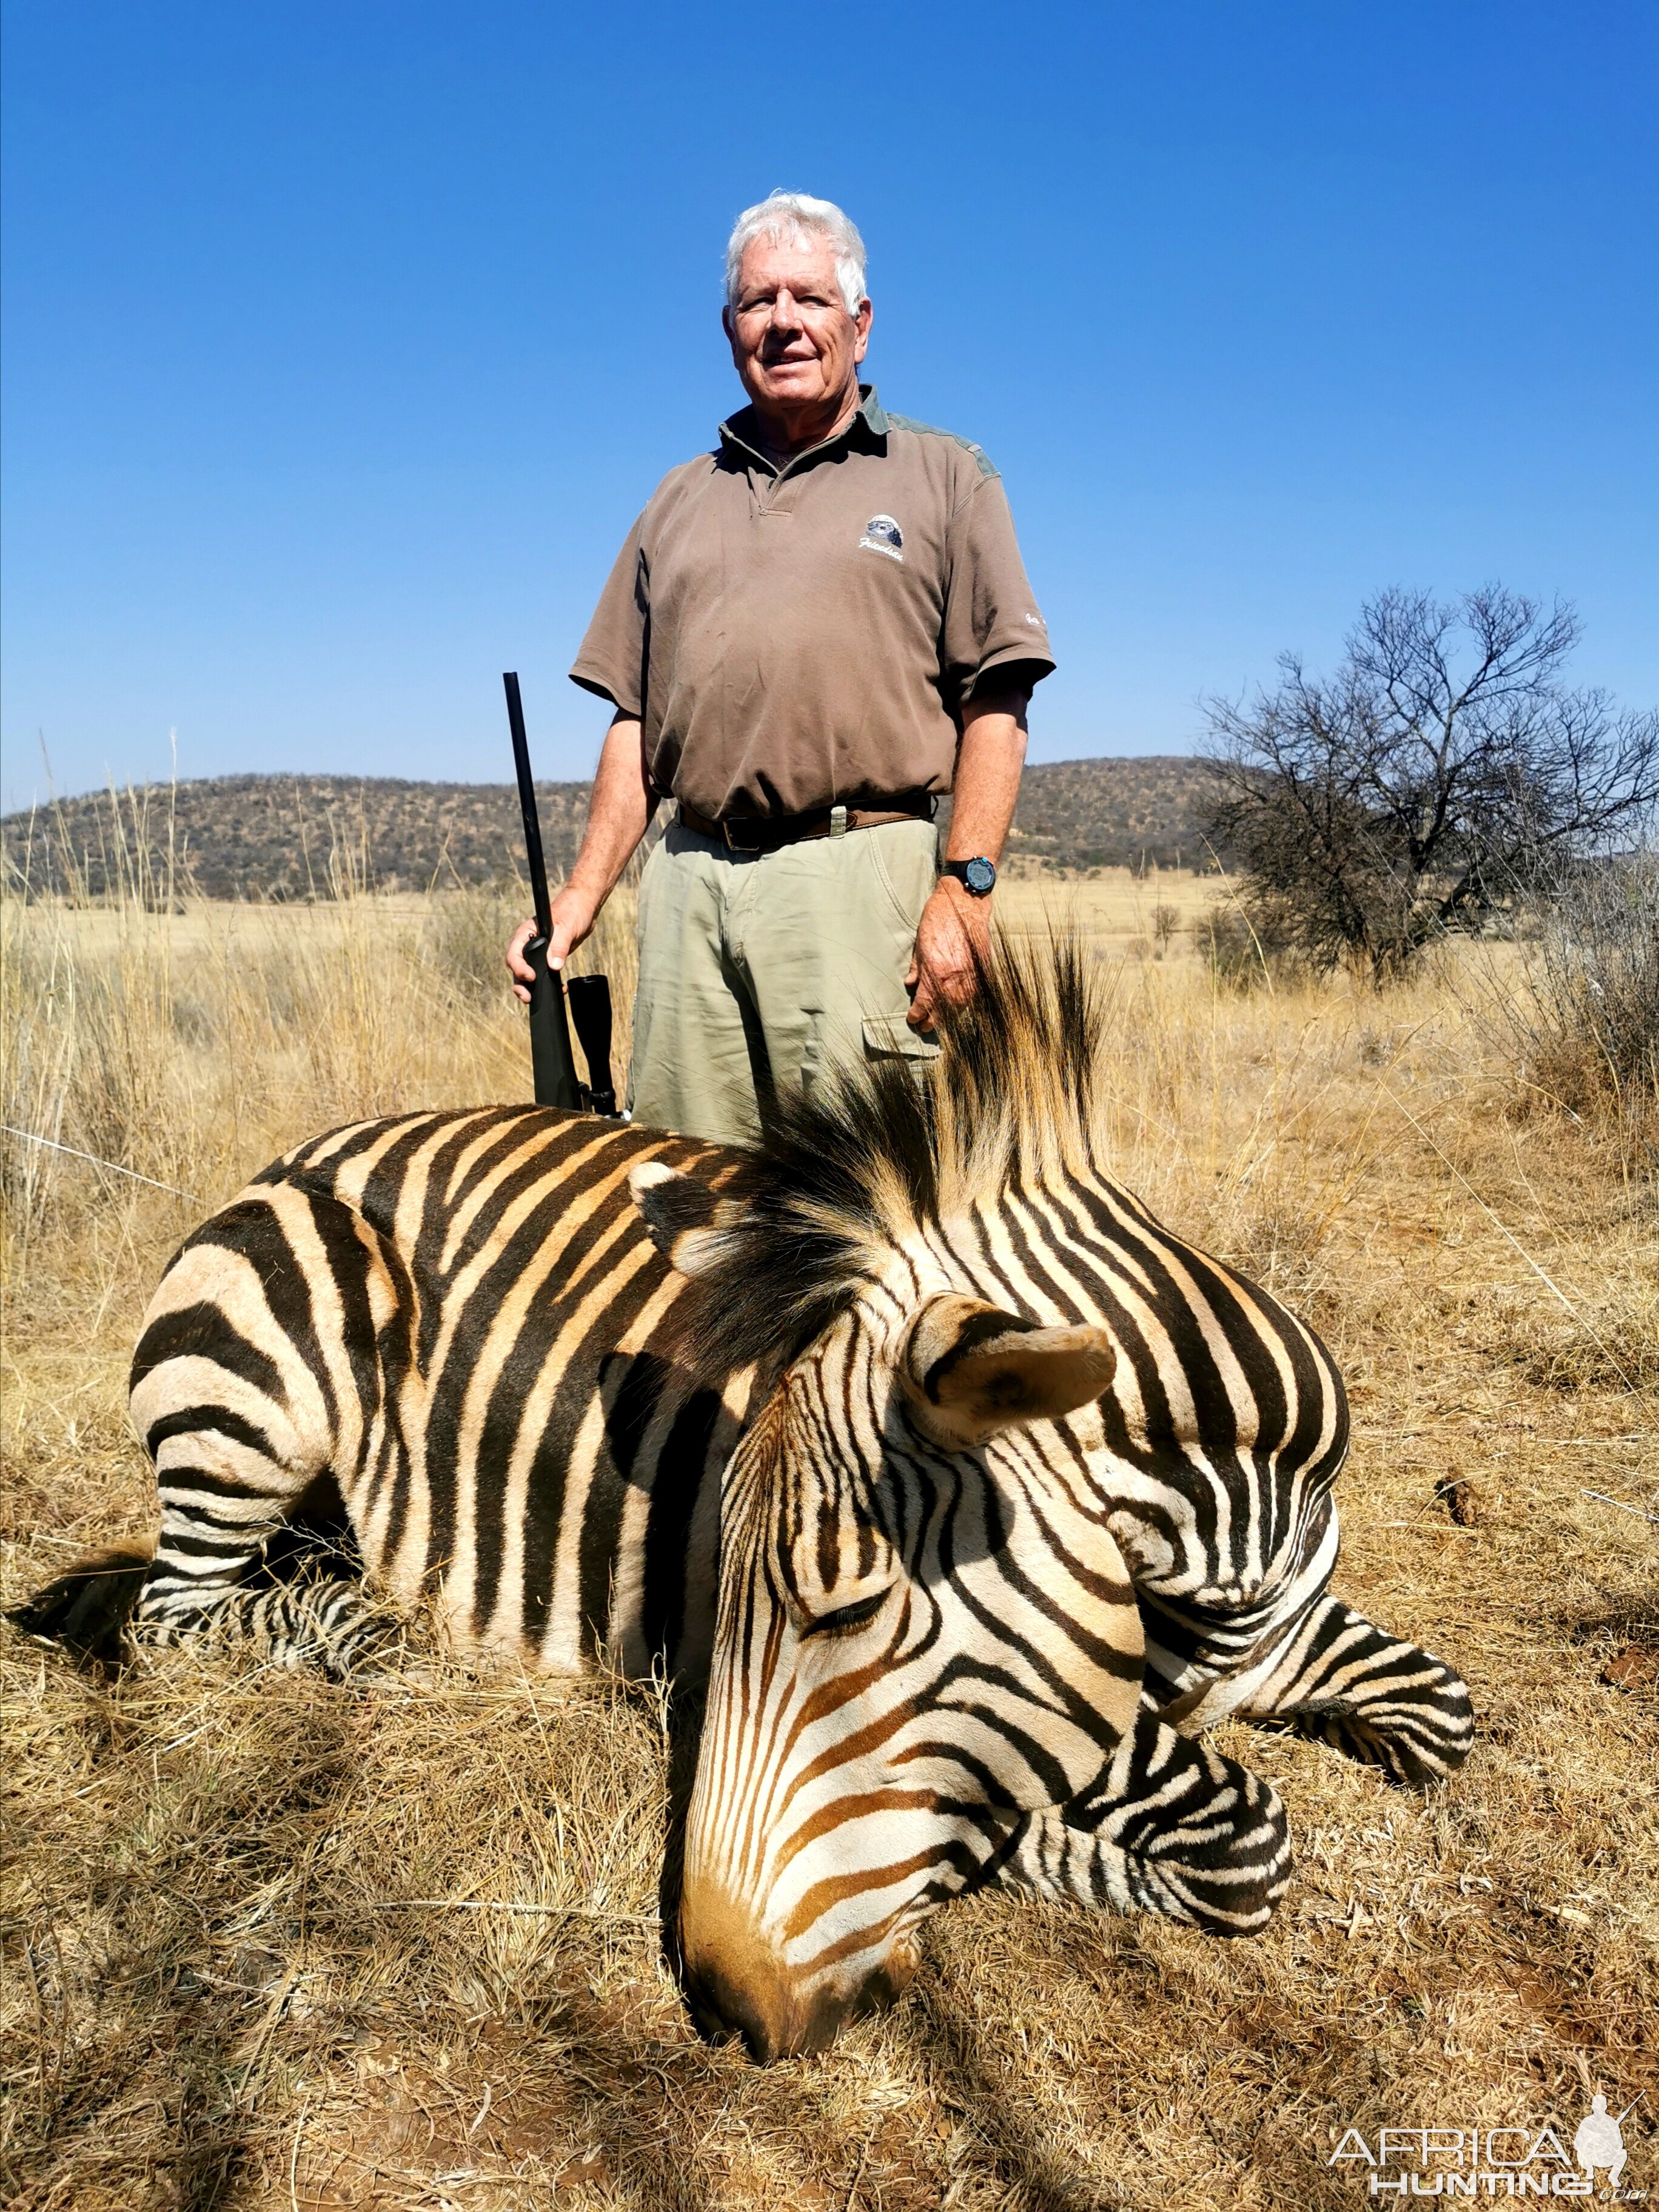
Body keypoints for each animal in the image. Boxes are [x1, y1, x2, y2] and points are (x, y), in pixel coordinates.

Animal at [10, 933, 1469, 2052]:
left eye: (845, 1610)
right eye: (731, 1584)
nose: (722, 2003)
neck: (1220, 1581)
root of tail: (319, 1140)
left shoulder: (1284, 1626)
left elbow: (1441, 1717)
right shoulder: (1094, 1715)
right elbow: (1238, 1833)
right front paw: (1014, 1850)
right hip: (262, 1370)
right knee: (176, 1615)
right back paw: (357, 1629)